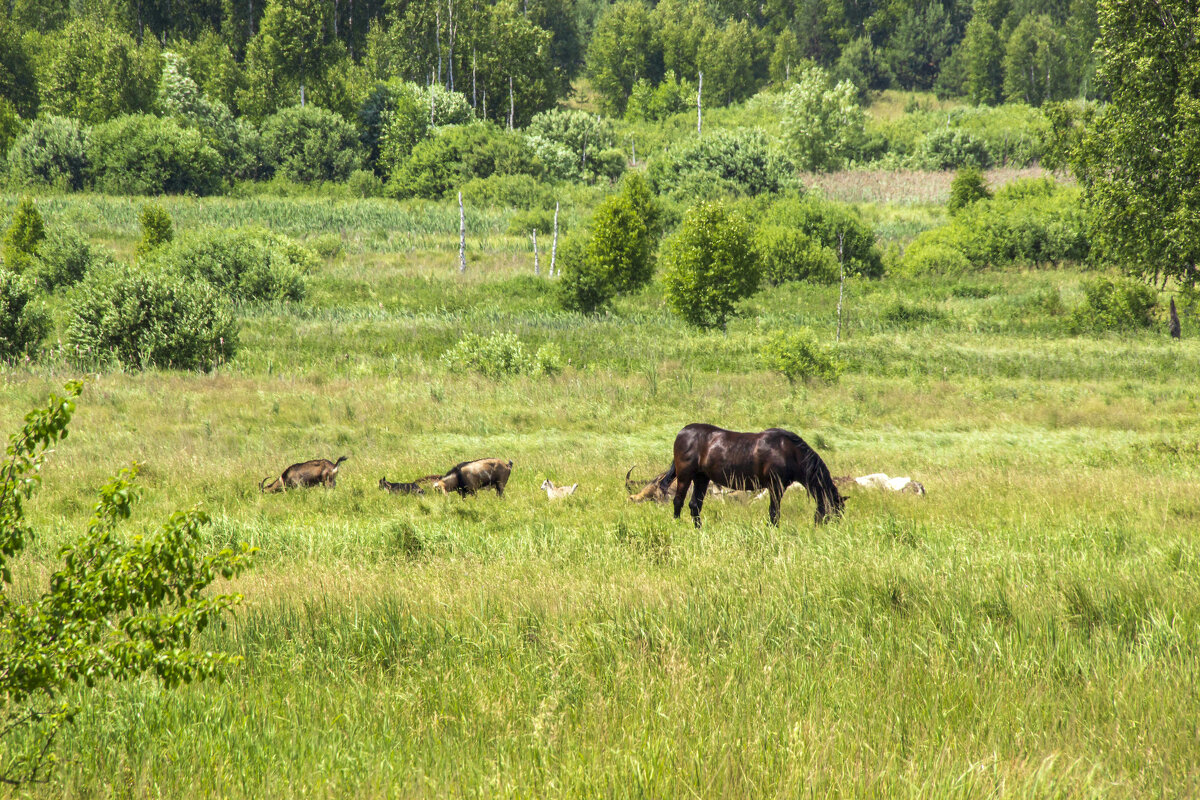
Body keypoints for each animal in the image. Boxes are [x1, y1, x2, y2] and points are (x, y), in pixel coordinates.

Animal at [657, 422, 844, 527]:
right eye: (836, 512)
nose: (831, 530)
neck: (788, 451)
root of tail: (682, 432)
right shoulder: (776, 486)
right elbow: (774, 511)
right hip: (685, 476)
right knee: (678, 501)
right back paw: (677, 525)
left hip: (701, 478)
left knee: (695, 505)